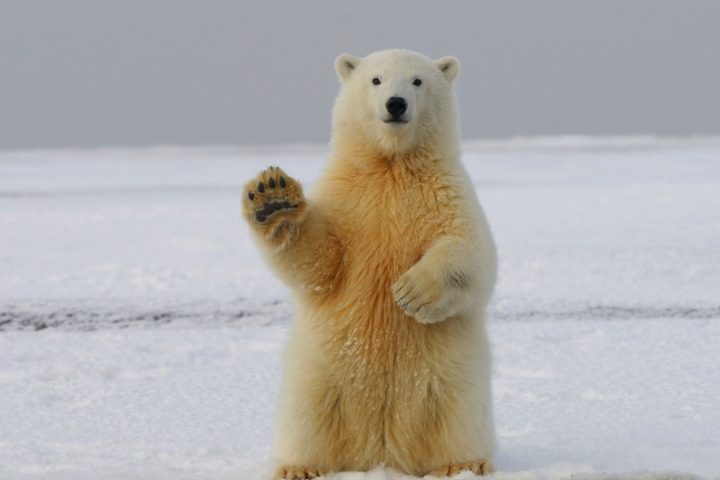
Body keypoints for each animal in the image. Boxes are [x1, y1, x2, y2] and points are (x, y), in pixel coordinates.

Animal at [242, 49, 497, 479]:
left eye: (417, 81)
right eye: (375, 80)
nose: (396, 104)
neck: (391, 165)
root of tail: (381, 451)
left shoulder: (447, 193)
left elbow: (472, 252)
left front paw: (412, 292)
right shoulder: (347, 199)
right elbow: (320, 261)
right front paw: (273, 197)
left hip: (452, 377)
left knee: (457, 416)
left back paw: (464, 464)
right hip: (319, 374)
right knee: (307, 417)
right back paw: (298, 467)